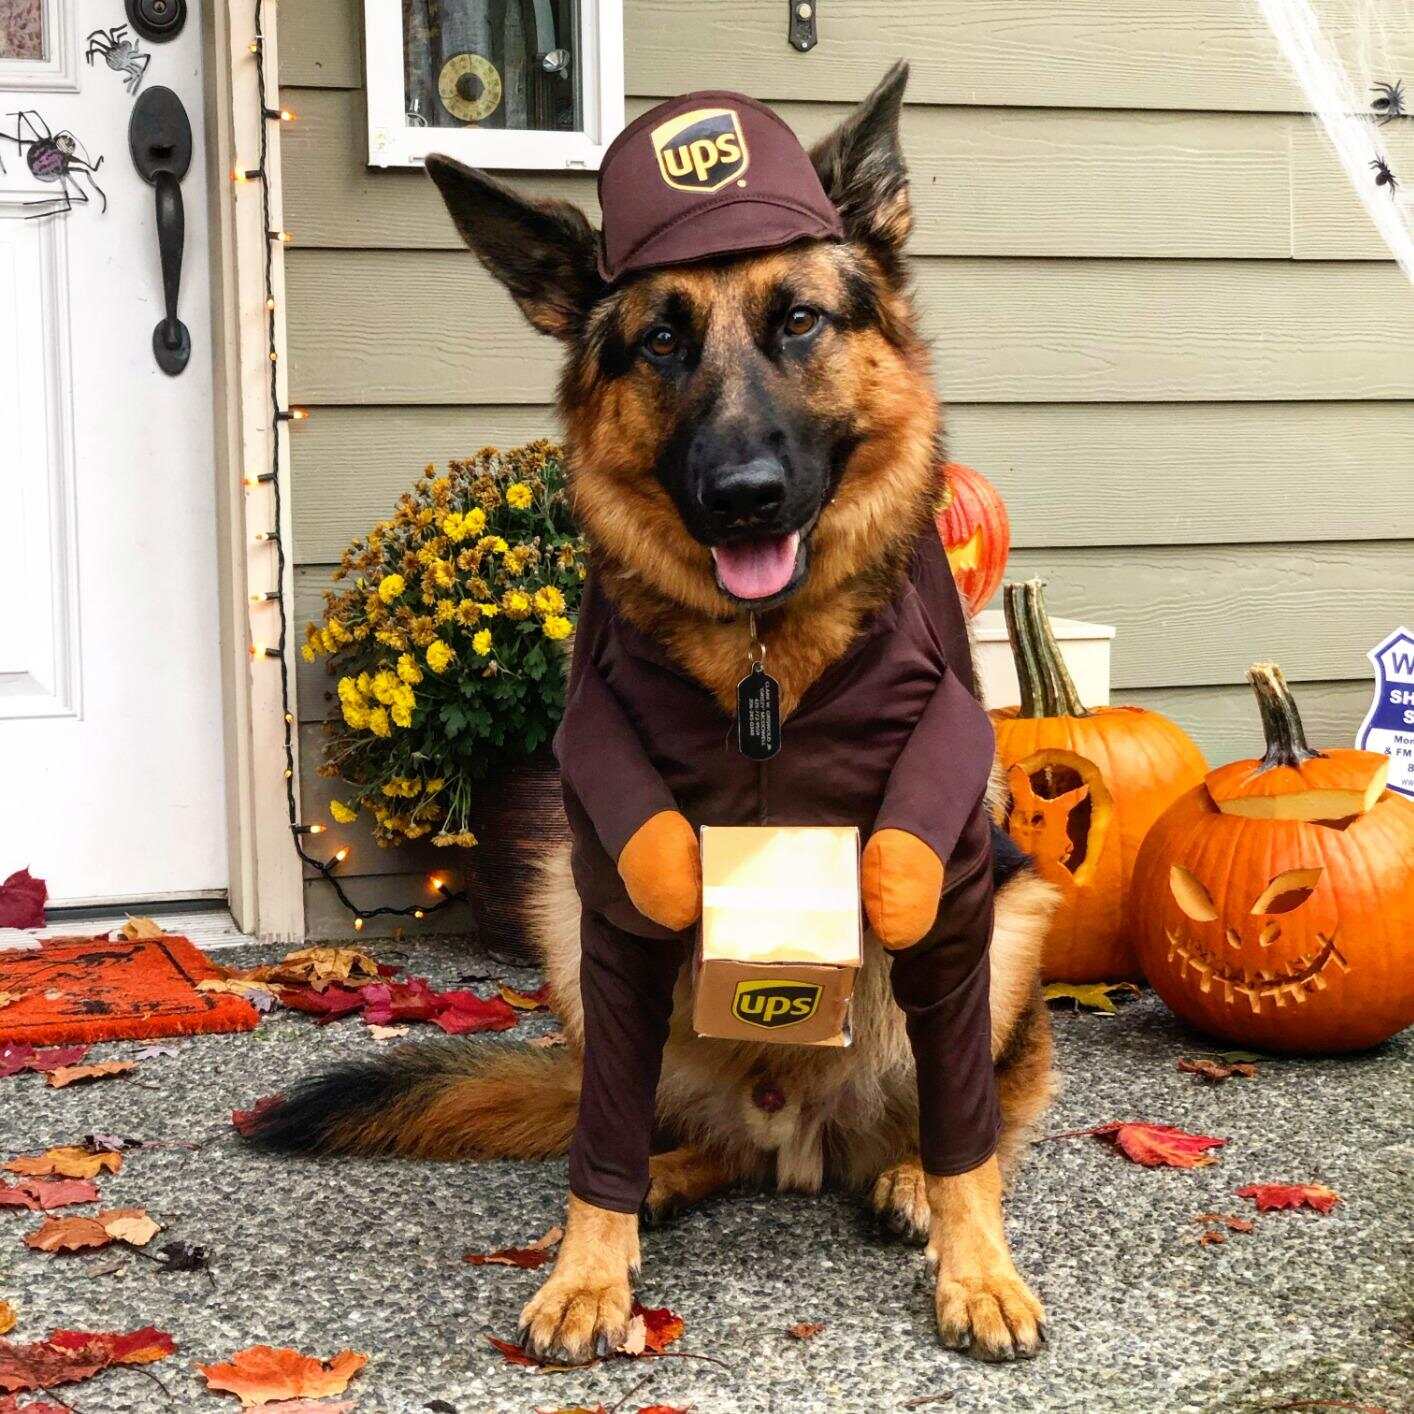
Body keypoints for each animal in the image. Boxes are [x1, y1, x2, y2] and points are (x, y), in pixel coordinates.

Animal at [254, 63, 1057, 1357]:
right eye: (661, 340)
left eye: (798, 321)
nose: (743, 498)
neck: (761, 660)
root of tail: (796, 1136)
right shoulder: (618, 897)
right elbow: (601, 1142)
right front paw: (590, 1268)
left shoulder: (944, 889)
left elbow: (972, 1140)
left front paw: (975, 1264)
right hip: (562, 919)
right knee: (669, 1133)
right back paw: (669, 1180)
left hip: (1014, 927)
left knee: (967, 1118)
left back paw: (903, 1184)